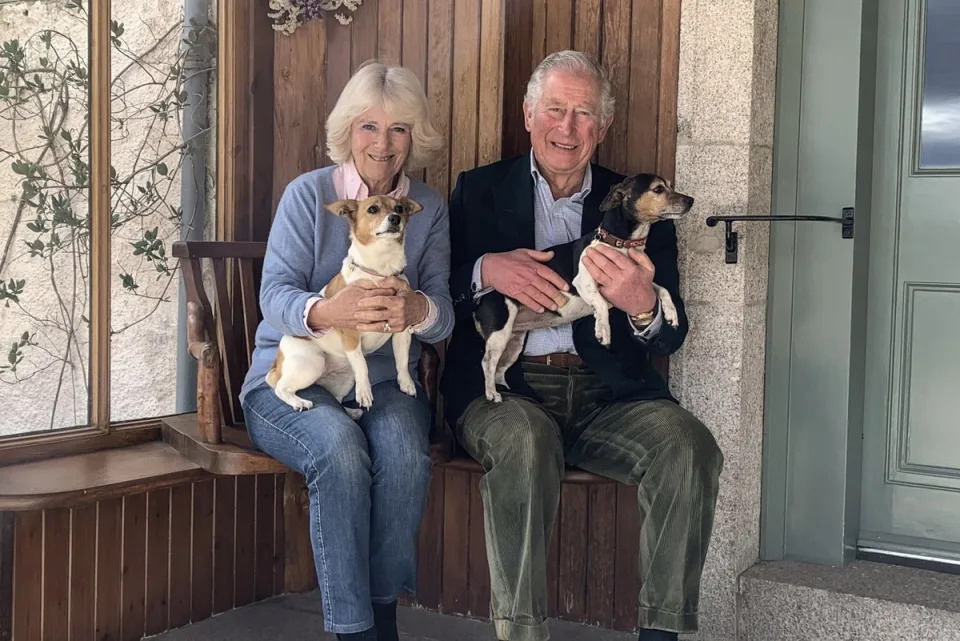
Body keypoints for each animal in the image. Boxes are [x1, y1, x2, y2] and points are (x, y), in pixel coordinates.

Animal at [266, 192, 424, 418]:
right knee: (280, 388)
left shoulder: (402, 332)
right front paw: (365, 393)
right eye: (373, 209)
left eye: (400, 208)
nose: (395, 218)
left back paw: (350, 412)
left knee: (338, 399)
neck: (380, 272)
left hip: (345, 377)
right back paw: (299, 401)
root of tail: (277, 363)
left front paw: (406, 383)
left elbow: (401, 361)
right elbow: (363, 366)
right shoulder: (351, 335)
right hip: (310, 362)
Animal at [476, 170, 692, 400]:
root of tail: (481, 300)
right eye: (658, 189)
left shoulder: (640, 279)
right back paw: (492, 394)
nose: (691, 200)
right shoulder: (582, 281)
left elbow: (663, 290)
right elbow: (600, 302)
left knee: (499, 370)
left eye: (670, 186)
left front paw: (671, 314)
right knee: (487, 363)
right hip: (499, 333)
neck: (621, 244)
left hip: (513, 343)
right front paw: (603, 330)